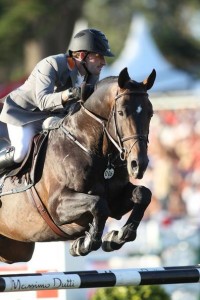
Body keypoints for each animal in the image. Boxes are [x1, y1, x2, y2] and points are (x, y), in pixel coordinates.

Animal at [0, 67, 155, 262]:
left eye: (150, 113)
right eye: (121, 112)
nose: (138, 164)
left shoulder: (116, 202)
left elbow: (143, 194)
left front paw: (116, 237)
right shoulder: (57, 206)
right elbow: (98, 205)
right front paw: (85, 244)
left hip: (14, 250)